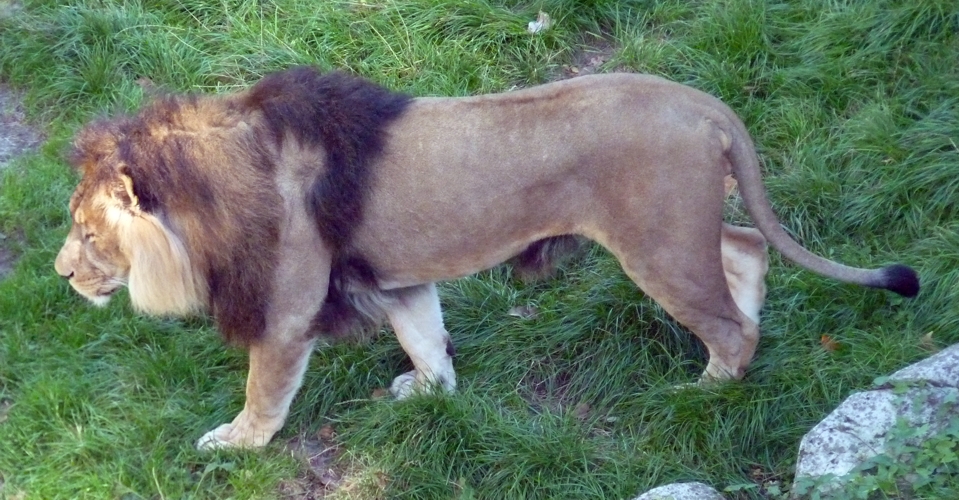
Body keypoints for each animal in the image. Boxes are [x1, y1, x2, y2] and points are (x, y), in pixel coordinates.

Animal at [54, 67, 919, 449]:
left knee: (728, 324)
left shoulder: (288, 306)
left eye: (89, 234)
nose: (62, 275)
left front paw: (234, 444)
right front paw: (428, 395)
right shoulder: (394, 278)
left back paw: (703, 390)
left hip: (658, 244)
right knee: (745, 249)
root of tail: (700, 101)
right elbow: (424, 339)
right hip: (683, 232)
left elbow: (263, 391)